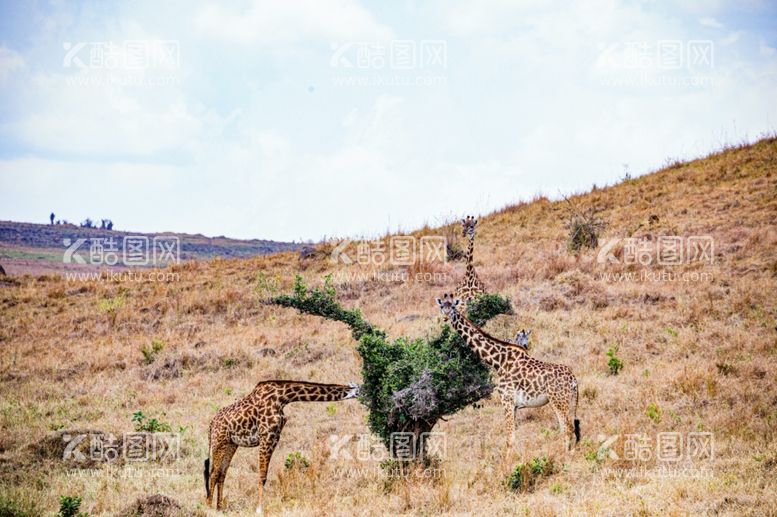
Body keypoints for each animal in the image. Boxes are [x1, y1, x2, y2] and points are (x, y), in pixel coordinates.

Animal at [205, 378, 360, 512]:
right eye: (361, 389)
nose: (365, 397)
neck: (283, 397)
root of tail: (211, 424)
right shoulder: (267, 435)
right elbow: (262, 476)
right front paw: (259, 509)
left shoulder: (275, 437)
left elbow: (263, 475)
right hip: (219, 442)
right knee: (213, 473)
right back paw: (208, 507)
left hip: (231, 444)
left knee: (222, 473)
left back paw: (219, 508)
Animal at [434, 292, 580, 450]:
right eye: (442, 307)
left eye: (453, 307)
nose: (446, 317)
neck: (499, 361)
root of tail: (573, 379)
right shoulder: (514, 405)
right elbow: (512, 437)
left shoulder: (507, 400)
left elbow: (510, 439)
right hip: (567, 401)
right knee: (568, 429)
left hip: (559, 401)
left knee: (568, 429)